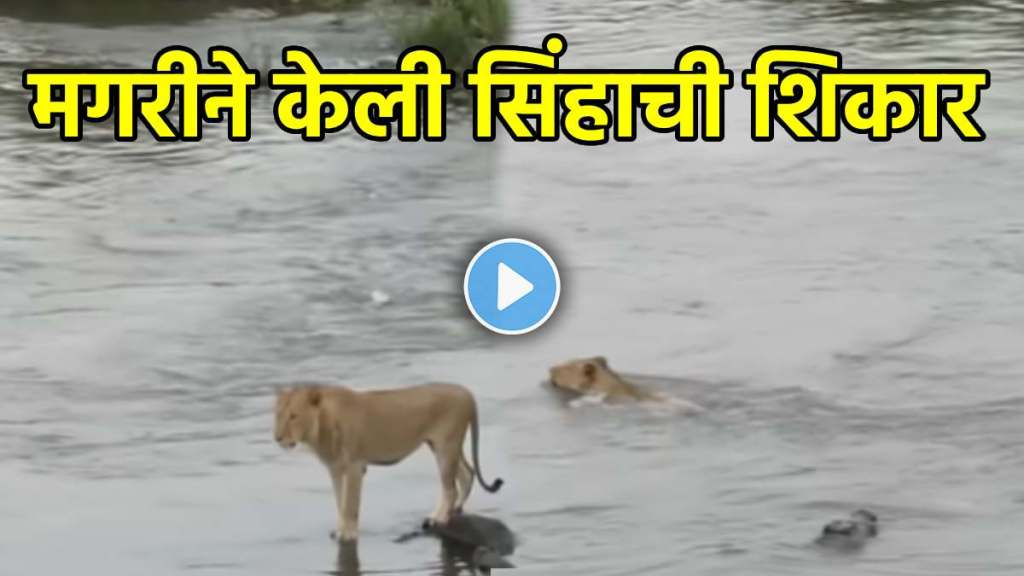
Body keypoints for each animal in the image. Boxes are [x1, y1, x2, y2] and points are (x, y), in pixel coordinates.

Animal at [274, 383, 504, 542]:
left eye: (293, 416)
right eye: (278, 415)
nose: (277, 438)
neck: (320, 427)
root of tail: (466, 392)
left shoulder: (355, 467)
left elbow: (350, 504)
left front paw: (348, 534)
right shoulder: (336, 469)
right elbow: (340, 502)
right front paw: (340, 529)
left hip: (446, 446)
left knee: (451, 488)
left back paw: (437, 519)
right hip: (443, 446)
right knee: (467, 474)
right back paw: (455, 510)